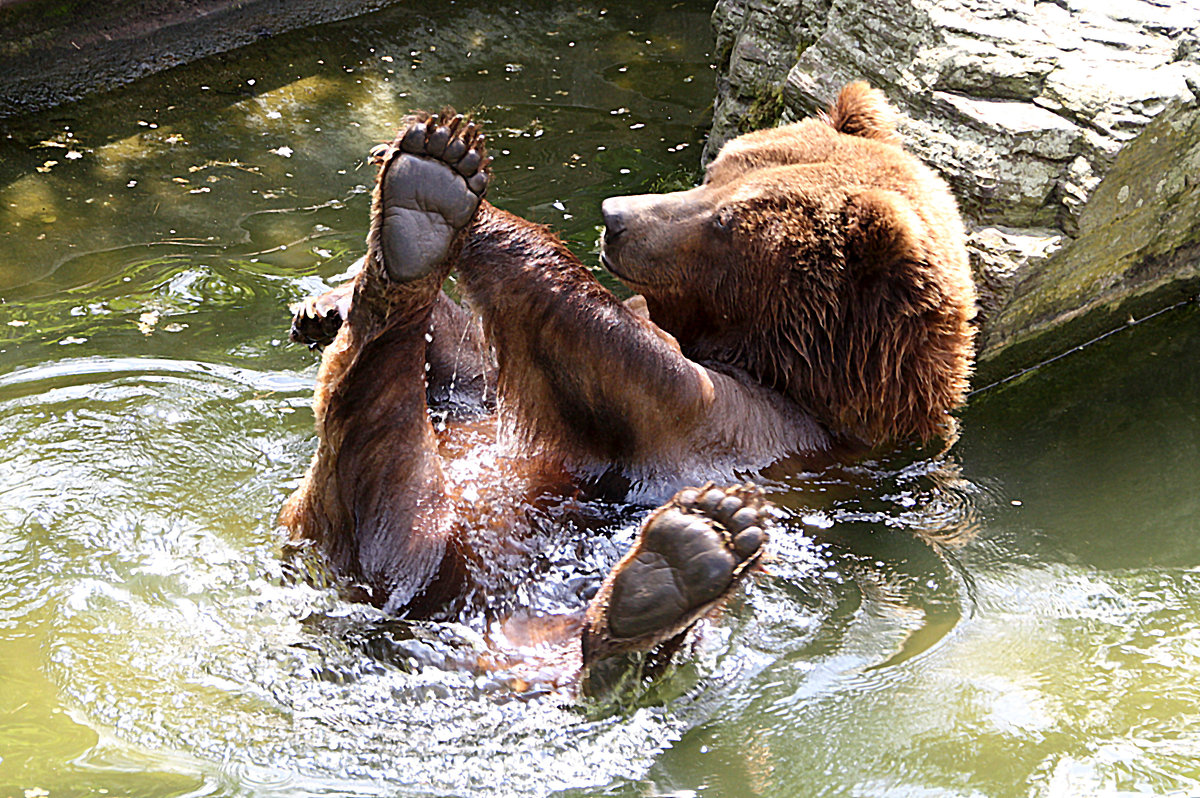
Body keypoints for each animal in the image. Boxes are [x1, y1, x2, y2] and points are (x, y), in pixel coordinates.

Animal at [285, 81, 979, 676]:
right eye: (715, 171)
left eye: (726, 223)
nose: (616, 215)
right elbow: (482, 365)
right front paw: (329, 299)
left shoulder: (761, 431)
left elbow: (630, 370)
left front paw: (473, 201)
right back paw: (416, 215)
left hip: (417, 546)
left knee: (381, 468)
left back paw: (666, 579)